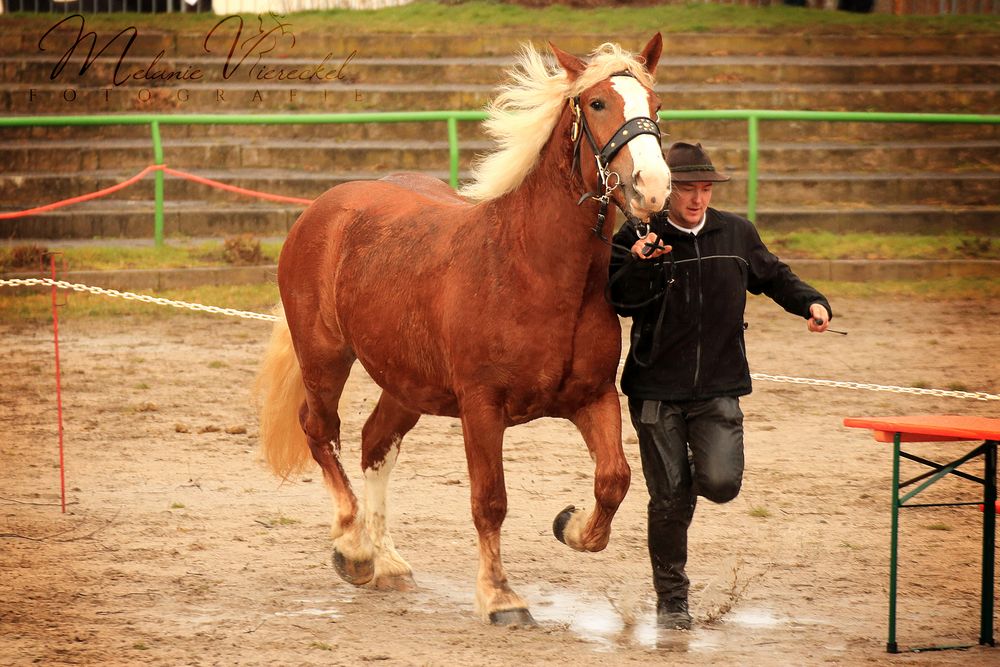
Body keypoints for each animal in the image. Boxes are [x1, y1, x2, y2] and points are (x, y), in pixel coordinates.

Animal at [254, 34, 668, 624]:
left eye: (656, 105)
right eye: (597, 104)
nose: (652, 188)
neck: (533, 270)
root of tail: (324, 208)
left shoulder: (593, 397)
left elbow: (614, 480)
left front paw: (570, 525)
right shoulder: (481, 406)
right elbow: (490, 501)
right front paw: (499, 596)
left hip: (406, 384)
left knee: (374, 442)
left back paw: (388, 561)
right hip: (325, 357)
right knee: (320, 430)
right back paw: (354, 548)